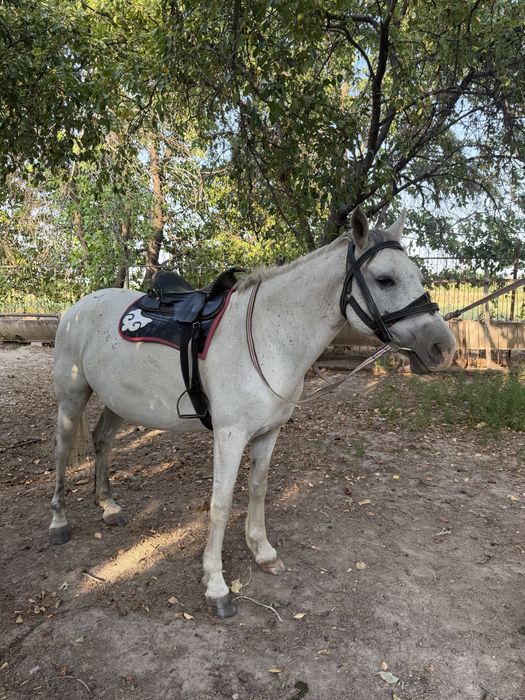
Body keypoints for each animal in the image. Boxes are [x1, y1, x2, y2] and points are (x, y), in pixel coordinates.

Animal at [49, 208, 456, 617]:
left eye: (417, 274)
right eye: (385, 279)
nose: (443, 347)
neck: (266, 337)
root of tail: (78, 308)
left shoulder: (269, 431)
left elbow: (258, 488)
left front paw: (262, 552)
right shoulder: (230, 436)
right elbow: (221, 502)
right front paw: (216, 585)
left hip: (119, 400)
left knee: (102, 440)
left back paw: (109, 507)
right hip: (71, 397)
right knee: (63, 452)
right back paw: (58, 522)